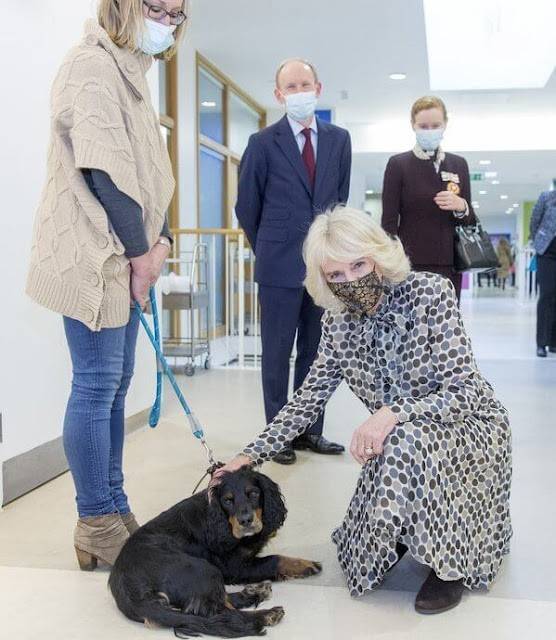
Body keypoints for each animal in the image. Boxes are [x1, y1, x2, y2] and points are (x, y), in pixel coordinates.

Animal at [108, 468, 322, 636]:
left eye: (253, 493)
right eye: (227, 501)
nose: (245, 521)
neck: (218, 519)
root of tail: (124, 586)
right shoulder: (235, 567)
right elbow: (274, 559)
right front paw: (306, 565)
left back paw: (255, 592)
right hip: (203, 569)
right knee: (219, 613)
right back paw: (265, 614)